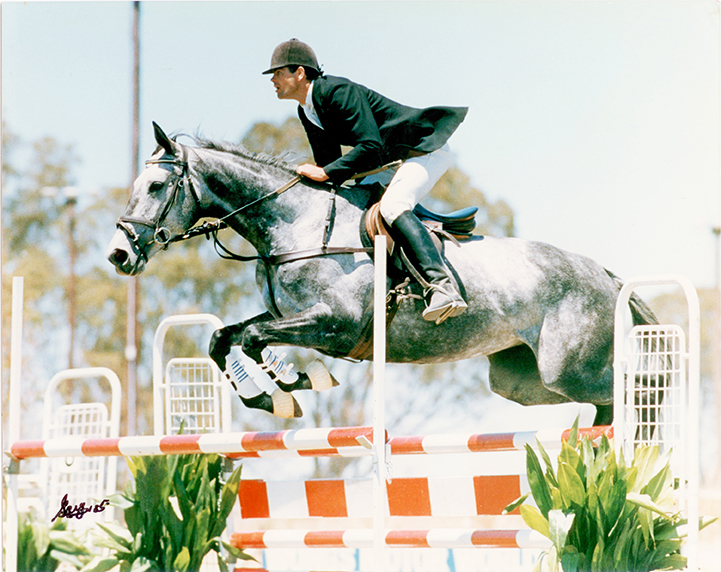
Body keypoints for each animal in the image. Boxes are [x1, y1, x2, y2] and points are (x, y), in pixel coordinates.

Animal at [108, 123, 660, 426]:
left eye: (155, 186)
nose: (118, 255)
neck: (295, 222)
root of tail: (604, 274)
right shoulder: (290, 315)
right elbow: (225, 339)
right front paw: (274, 395)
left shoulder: (335, 324)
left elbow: (252, 339)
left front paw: (293, 381)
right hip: (525, 382)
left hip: (569, 369)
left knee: (634, 387)